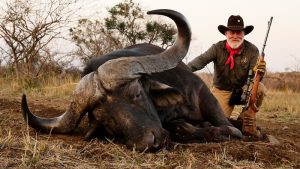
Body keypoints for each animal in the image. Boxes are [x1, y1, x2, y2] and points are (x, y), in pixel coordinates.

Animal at [21, 9, 241, 152]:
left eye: (136, 94)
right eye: (106, 119)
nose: (151, 143)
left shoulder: (206, 98)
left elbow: (229, 127)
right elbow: (181, 128)